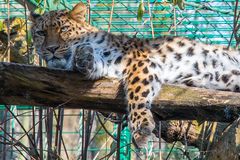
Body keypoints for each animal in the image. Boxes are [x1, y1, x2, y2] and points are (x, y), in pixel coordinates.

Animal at [31, 2, 240, 148]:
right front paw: (83, 57)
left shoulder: (140, 61)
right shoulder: (108, 65)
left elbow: (136, 93)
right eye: (41, 33)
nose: (51, 49)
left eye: (64, 29)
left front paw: (141, 129)